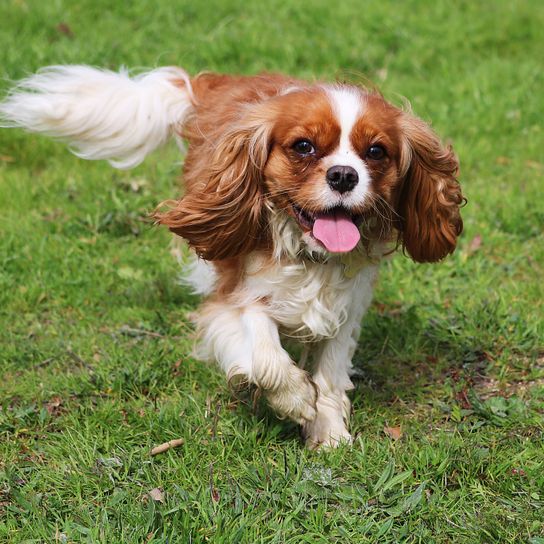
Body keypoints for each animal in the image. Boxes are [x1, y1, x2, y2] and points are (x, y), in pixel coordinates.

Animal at [0, 66, 464, 448]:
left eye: (376, 152)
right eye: (304, 146)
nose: (344, 175)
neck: (307, 255)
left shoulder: (346, 311)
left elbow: (330, 375)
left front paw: (328, 432)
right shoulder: (232, 300)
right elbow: (265, 351)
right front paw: (295, 399)